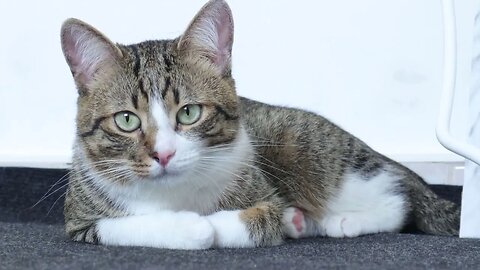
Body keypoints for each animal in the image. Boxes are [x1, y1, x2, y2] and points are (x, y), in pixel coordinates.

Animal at [61, 0, 462, 249]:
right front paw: (188, 224)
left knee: (396, 199)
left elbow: (258, 220)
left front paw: (211, 224)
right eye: (126, 120)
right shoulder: (78, 223)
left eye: (189, 113)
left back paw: (343, 221)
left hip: (309, 151)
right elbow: (119, 226)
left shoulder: (267, 196)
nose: (164, 154)